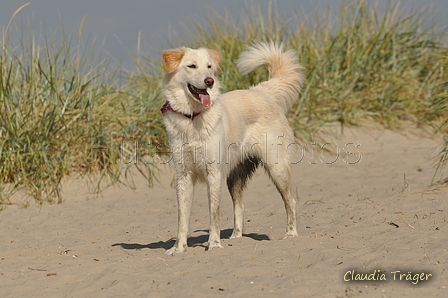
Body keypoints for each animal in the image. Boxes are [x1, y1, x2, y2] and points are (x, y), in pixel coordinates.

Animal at [161, 41, 304, 254]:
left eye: (209, 67)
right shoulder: (184, 176)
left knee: (290, 201)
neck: (193, 117)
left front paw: (214, 244)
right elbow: (182, 218)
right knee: (240, 206)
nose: (210, 81)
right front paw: (179, 248)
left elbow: (214, 215)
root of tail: (262, 91)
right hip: (234, 177)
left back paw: (291, 234)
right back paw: (236, 237)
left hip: (276, 167)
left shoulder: (213, 174)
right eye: (192, 66)